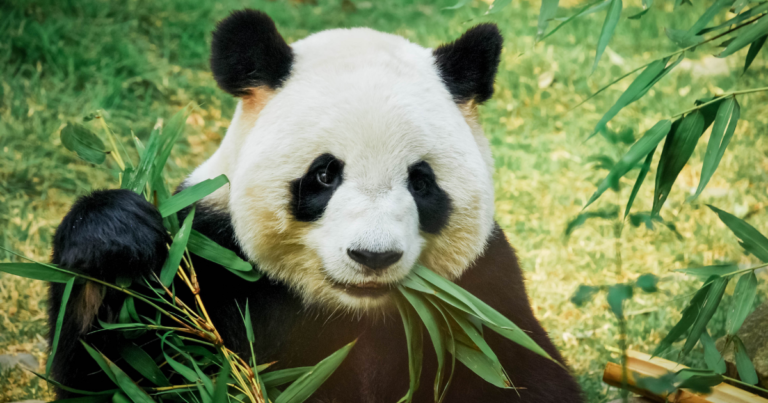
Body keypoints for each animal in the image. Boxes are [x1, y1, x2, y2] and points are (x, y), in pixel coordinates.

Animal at [48, 9, 583, 402]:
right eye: (325, 175)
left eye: (421, 182)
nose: (373, 257)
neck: (351, 311)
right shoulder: (209, 257)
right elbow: (123, 371)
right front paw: (113, 239)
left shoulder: (481, 290)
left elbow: (524, 375)